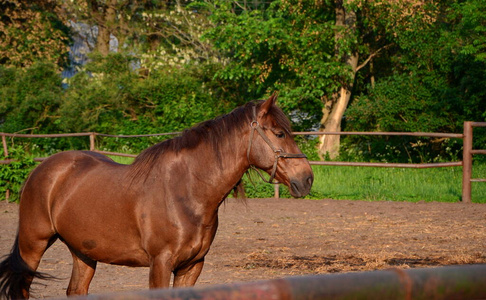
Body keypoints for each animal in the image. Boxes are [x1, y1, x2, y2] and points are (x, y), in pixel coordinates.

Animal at [0, 94, 314, 298]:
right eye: (279, 133)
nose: (307, 178)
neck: (185, 192)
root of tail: (42, 169)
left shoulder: (191, 267)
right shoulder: (160, 264)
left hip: (83, 251)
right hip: (32, 245)